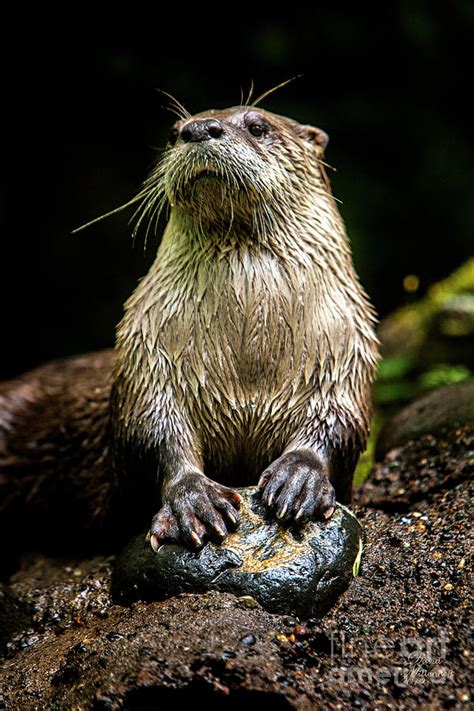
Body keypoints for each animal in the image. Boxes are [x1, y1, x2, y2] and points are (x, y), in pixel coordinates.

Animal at [110, 104, 378, 552]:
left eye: (257, 127)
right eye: (172, 133)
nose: (199, 129)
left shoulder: (346, 346)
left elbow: (339, 419)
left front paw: (299, 477)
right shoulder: (145, 354)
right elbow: (153, 430)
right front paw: (193, 499)